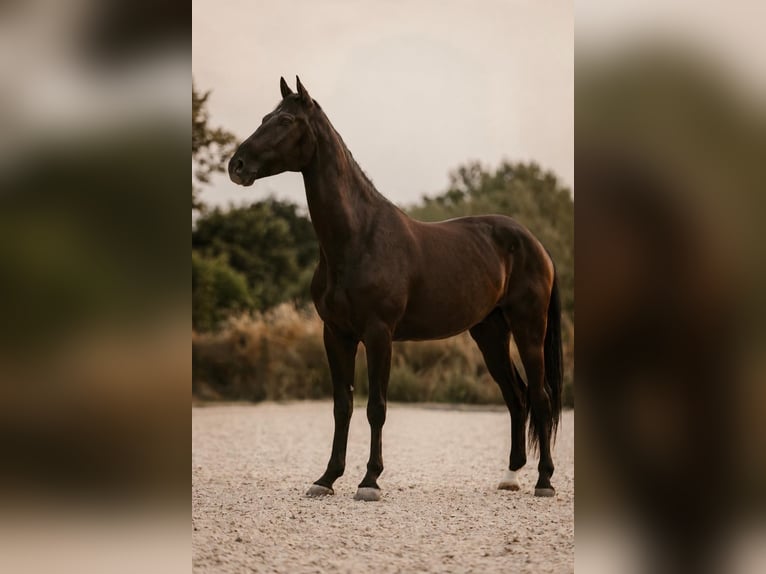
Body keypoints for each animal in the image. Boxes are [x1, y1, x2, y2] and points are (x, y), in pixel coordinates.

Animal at [228, 77, 563, 500]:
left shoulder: (378, 333)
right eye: (263, 118)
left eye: (286, 120)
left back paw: (544, 480)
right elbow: (342, 406)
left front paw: (369, 481)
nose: (236, 165)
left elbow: (377, 406)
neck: (359, 237)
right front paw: (327, 478)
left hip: (528, 328)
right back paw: (510, 476)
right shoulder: (335, 334)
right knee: (515, 397)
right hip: (490, 333)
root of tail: (536, 244)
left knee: (540, 397)